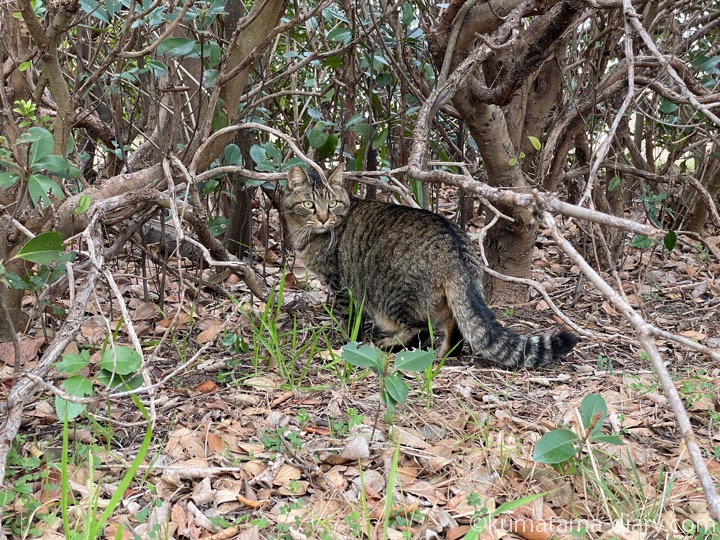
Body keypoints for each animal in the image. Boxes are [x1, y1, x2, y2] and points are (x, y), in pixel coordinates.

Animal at [282, 162, 580, 370]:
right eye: (310, 204)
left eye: (332, 203)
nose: (323, 218)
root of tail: (456, 246)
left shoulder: (341, 284)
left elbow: (348, 317)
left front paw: (343, 341)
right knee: (455, 328)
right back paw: (444, 354)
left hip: (391, 296)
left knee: (419, 328)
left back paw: (391, 343)